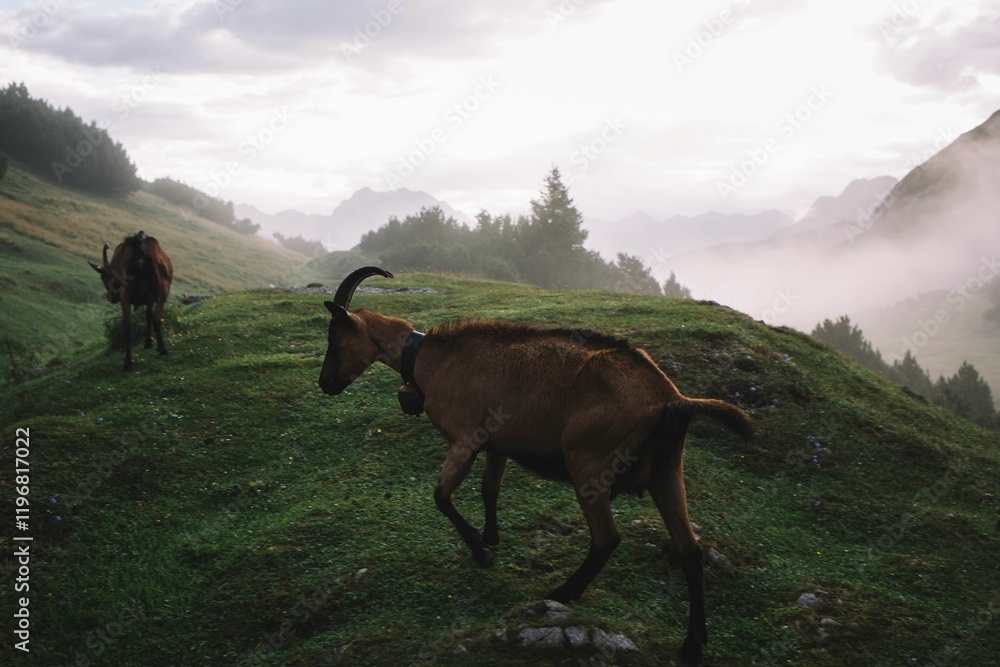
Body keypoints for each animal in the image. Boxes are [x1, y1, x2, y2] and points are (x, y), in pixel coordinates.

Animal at [89, 231, 174, 371]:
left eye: (103, 277)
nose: (111, 298)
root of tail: (138, 249)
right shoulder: (150, 297)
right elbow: (149, 315)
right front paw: (149, 342)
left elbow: (147, 314)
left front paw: (148, 342)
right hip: (163, 289)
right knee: (156, 318)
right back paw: (162, 349)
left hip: (127, 296)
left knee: (127, 326)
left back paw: (128, 362)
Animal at [318, 266, 752, 664]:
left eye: (335, 337)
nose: (324, 384)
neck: (429, 358)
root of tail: (671, 399)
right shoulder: (497, 445)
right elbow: (488, 490)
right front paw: (491, 537)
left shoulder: (464, 439)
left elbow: (441, 497)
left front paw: (482, 552)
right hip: (667, 472)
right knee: (690, 551)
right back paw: (692, 644)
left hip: (589, 465)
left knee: (607, 538)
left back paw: (563, 593)